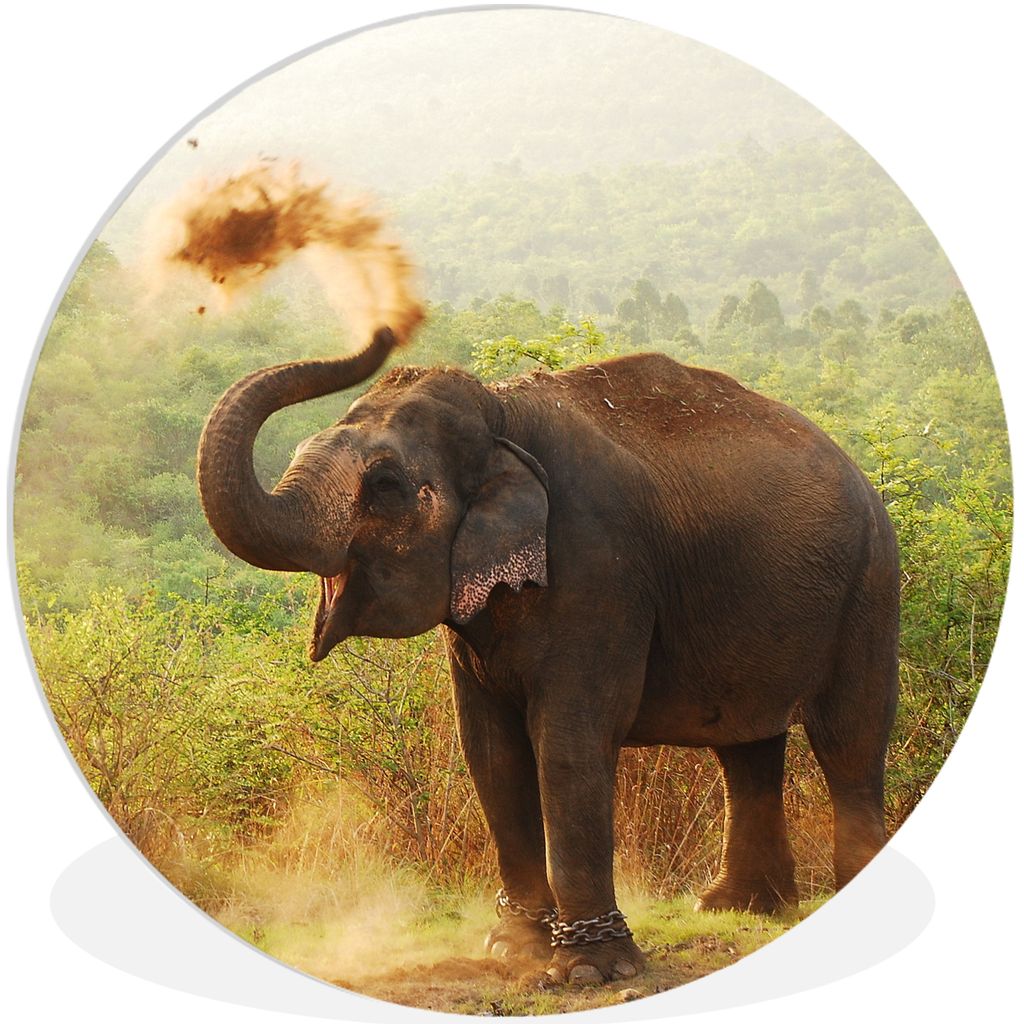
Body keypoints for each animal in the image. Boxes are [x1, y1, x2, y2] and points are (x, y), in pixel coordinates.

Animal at [197, 325, 899, 984]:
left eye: (386, 485)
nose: (385, 329)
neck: (501, 415)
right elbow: (490, 749)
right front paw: (515, 947)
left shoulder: (599, 565)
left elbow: (569, 742)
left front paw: (588, 970)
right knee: (748, 746)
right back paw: (737, 909)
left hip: (871, 581)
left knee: (850, 737)